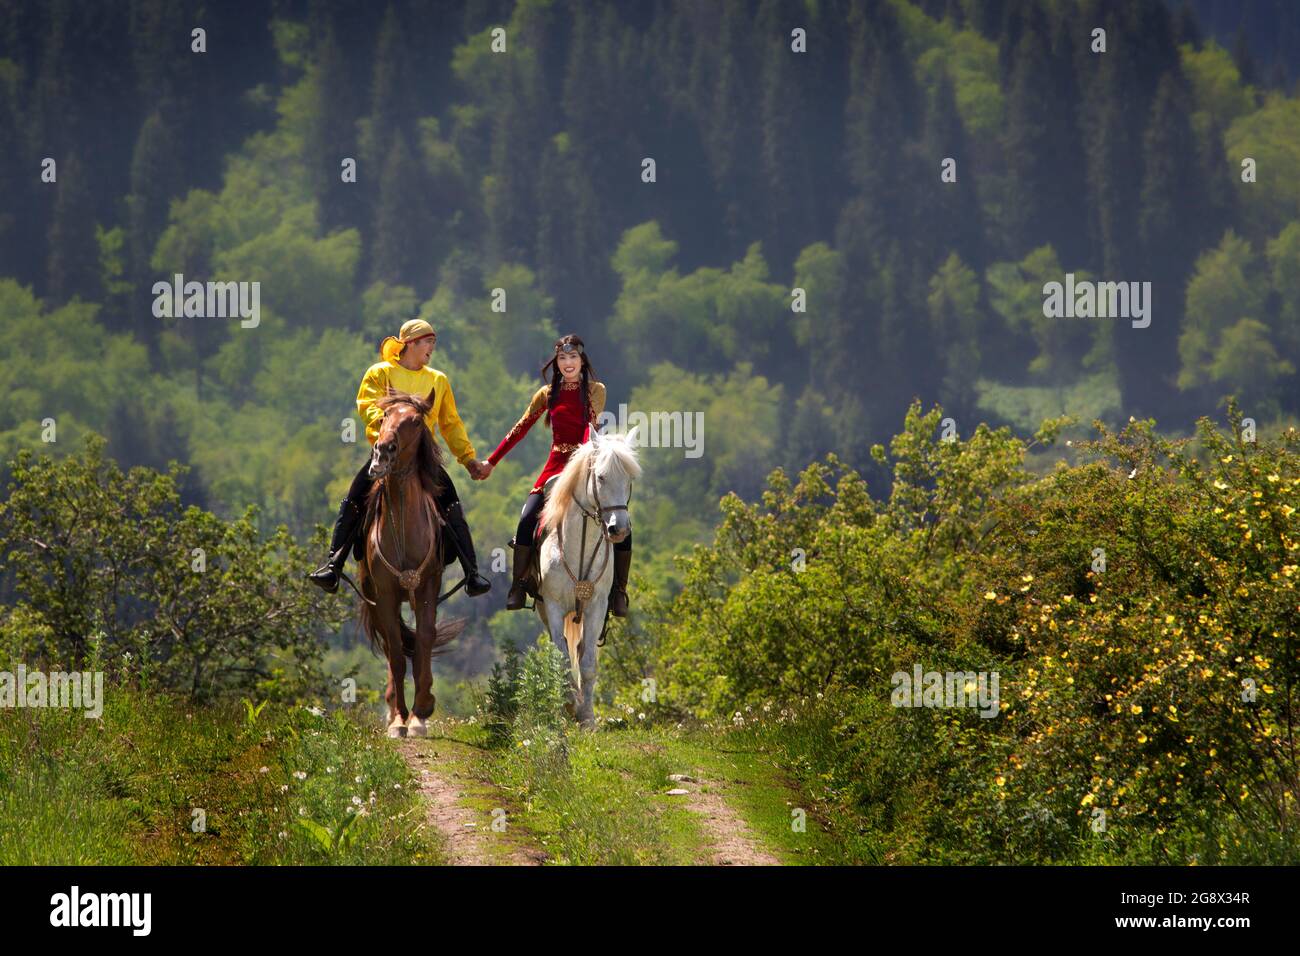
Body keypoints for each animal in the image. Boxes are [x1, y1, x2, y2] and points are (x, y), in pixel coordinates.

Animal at [355, 386, 466, 738]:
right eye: (384, 416)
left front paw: (421, 712)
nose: (383, 452)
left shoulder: (426, 587)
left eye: (416, 421)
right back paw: (393, 710)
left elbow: (424, 641)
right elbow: (396, 652)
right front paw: (400, 719)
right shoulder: (385, 594)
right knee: (391, 647)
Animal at [535, 427, 640, 729]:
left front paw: (587, 717)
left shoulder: (596, 607)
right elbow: (560, 657)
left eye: (629, 479)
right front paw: (570, 703)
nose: (619, 529)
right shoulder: (553, 606)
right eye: (601, 477)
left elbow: (589, 663)